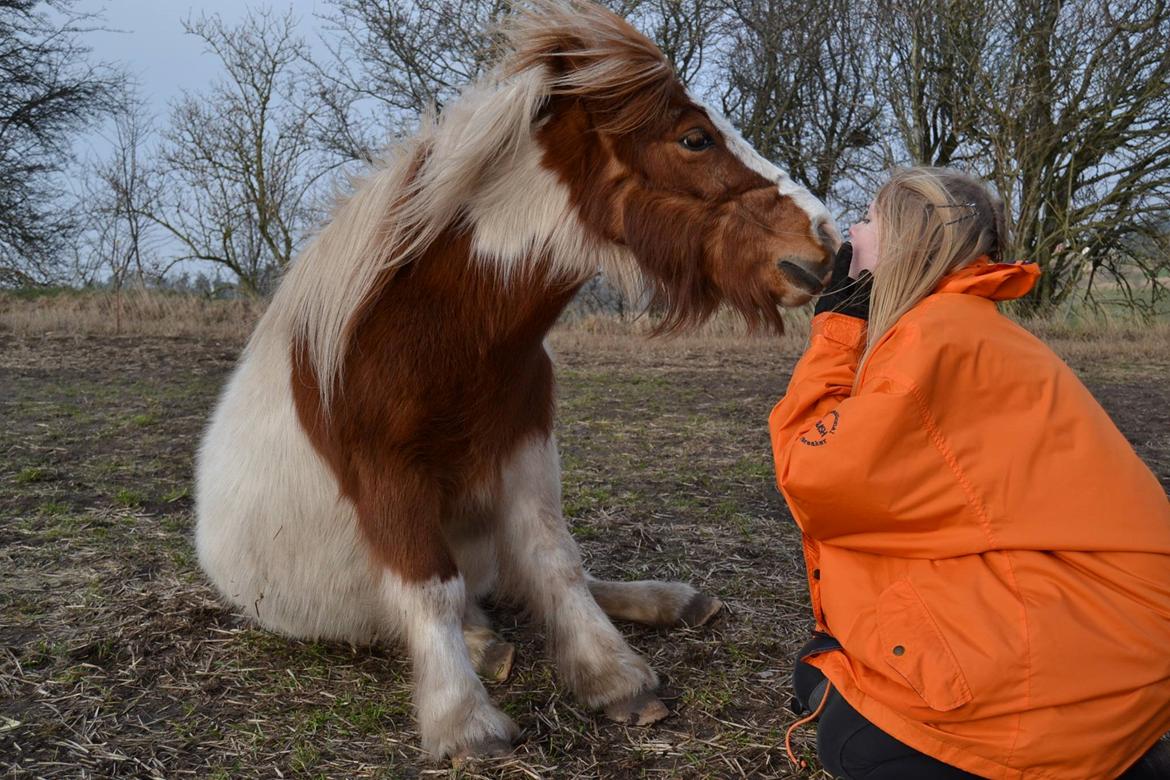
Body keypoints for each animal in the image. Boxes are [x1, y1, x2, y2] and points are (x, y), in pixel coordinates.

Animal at [201, 0, 837, 757]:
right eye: (694, 138)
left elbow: (556, 560)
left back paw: (667, 600)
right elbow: (432, 588)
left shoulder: (526, 442)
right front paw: (462, 720)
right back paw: (485, 647)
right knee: (466, 601)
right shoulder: (386, 473)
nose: (827, 240)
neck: (441, 332)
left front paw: (614, 674)